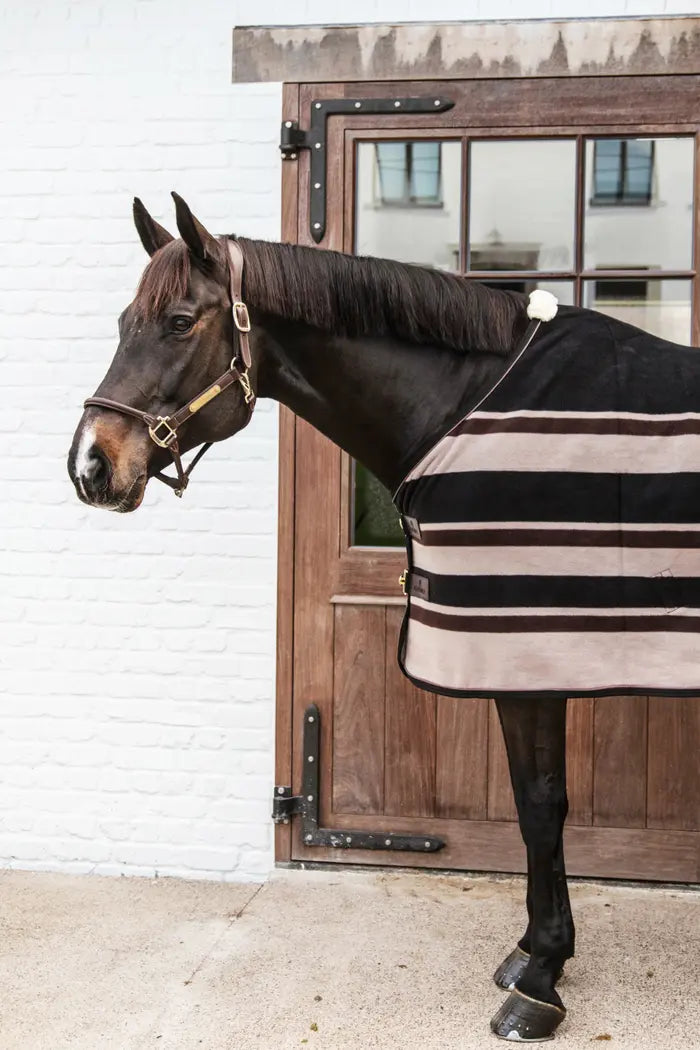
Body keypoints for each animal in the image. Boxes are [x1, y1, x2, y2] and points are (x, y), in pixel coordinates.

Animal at [67, 195, 700, 1041]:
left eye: (176, 321)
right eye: (121, 323)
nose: (90, 465)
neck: (466, 404)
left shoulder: (527, 654)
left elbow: (541, 805)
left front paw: (539, 980)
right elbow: (535, 803)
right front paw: (535, 953)